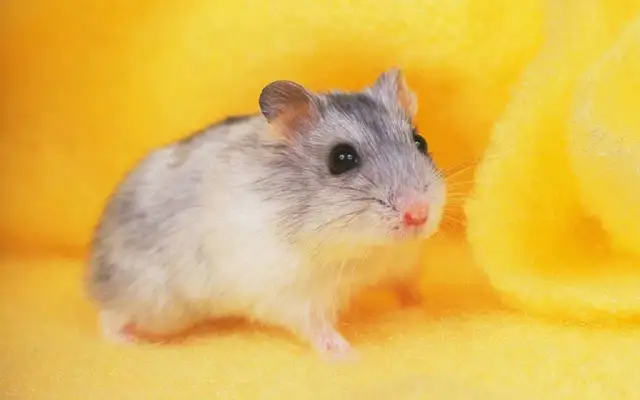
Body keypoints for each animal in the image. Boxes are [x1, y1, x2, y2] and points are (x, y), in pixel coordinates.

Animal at [86, 68, 447, 358]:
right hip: (154, 303)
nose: (418, 214)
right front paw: (348, 355)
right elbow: (316, 326)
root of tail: (92, 267)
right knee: (108, 315)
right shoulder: (294, 293)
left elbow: (407, 285)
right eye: (341, 159)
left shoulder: (400, 263)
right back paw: (126, 342)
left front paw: (423, 305)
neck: (367, 250)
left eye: (421, 142)